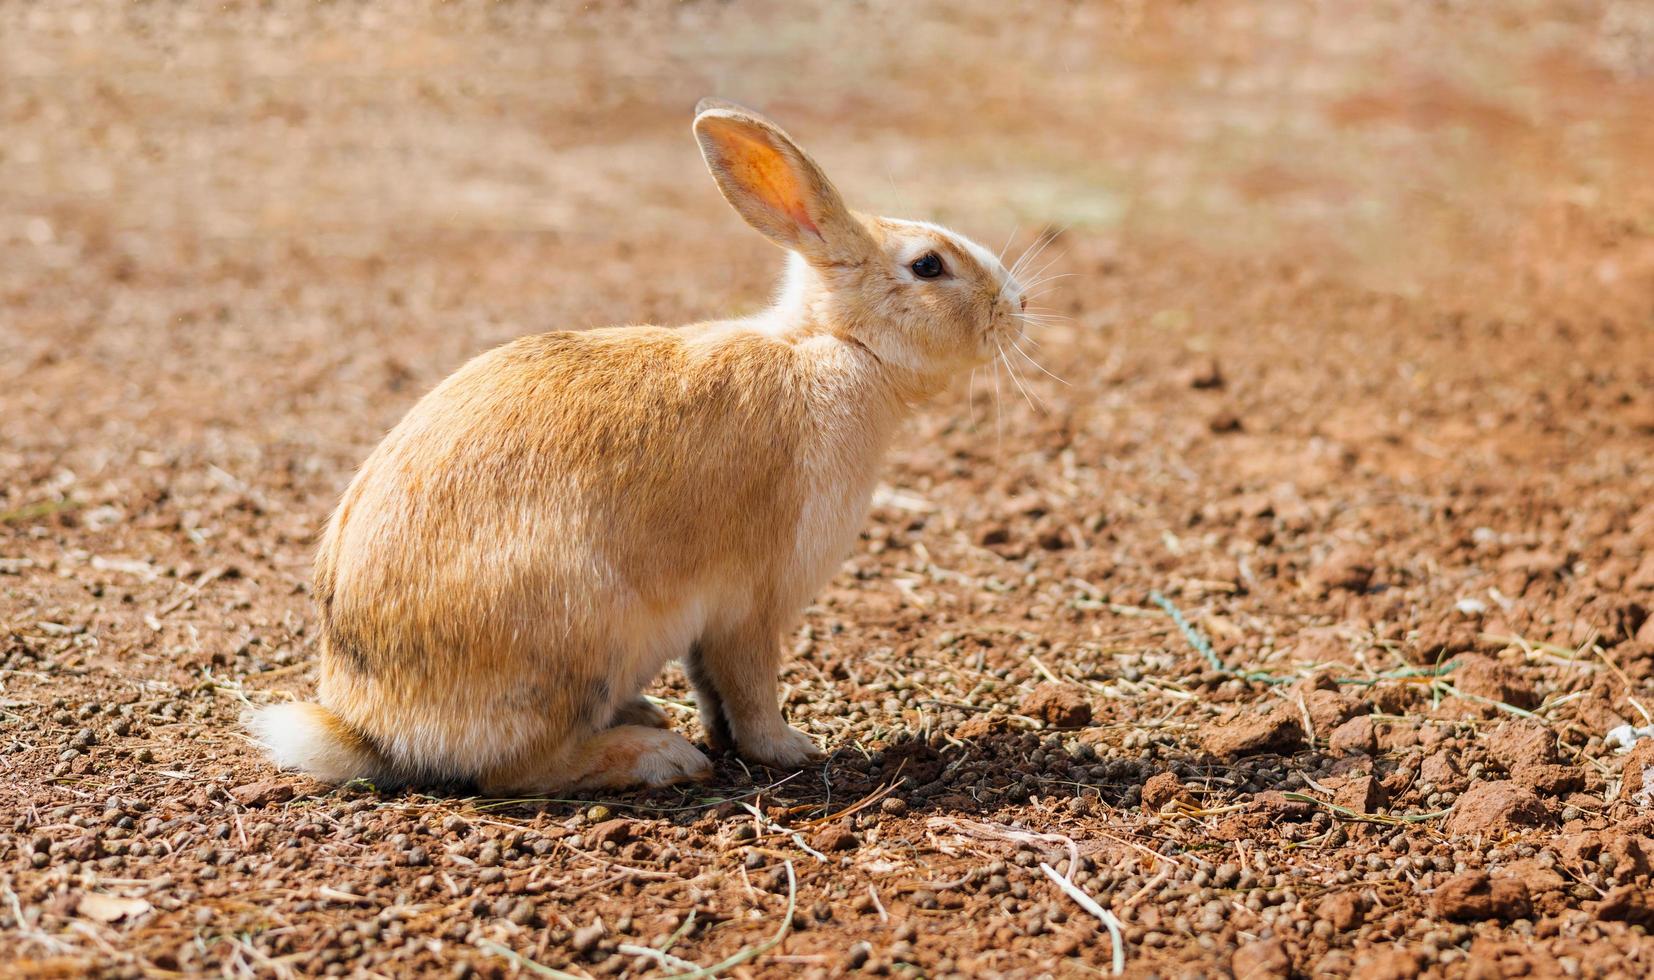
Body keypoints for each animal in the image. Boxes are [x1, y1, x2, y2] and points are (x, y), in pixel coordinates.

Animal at [246, 95, 1025, 789]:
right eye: (929, 266)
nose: (1015, 304)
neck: (836, 346)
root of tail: (369, 726)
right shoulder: (752, 605)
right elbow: (750, 688)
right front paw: (790, 750)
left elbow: (713, 689)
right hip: (577, 633)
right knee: (516, 771)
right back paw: (660, 757)